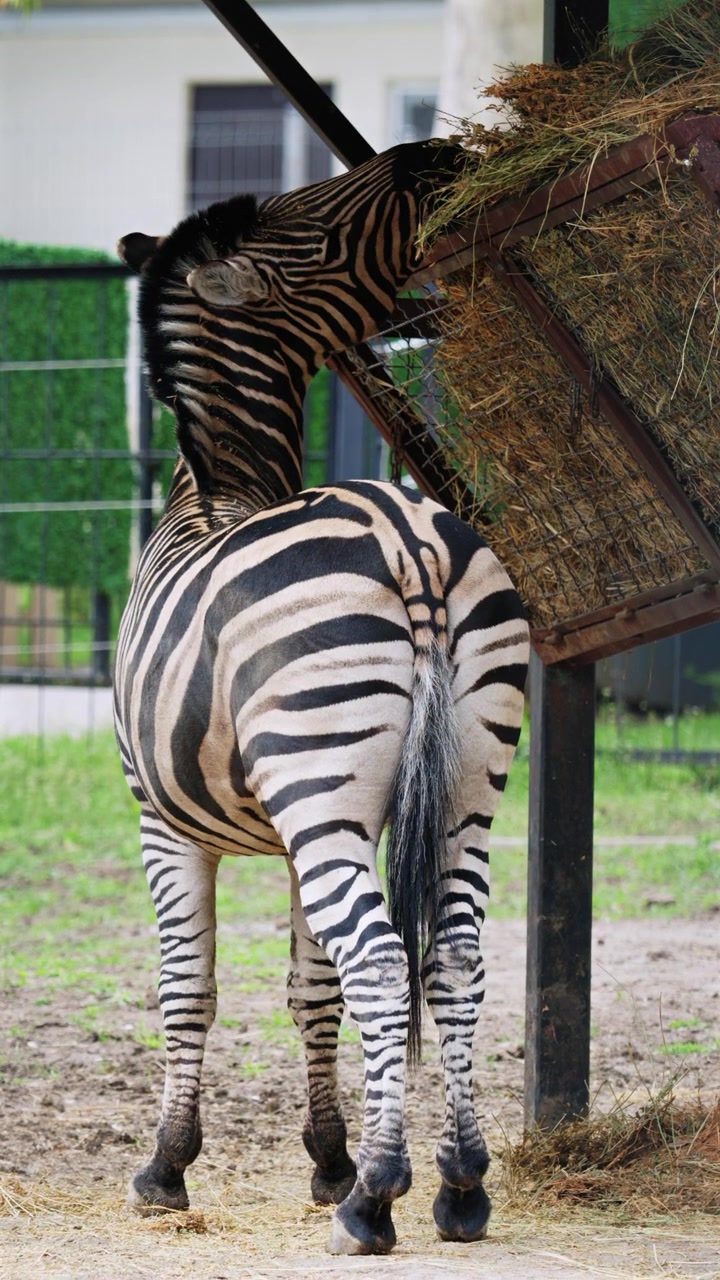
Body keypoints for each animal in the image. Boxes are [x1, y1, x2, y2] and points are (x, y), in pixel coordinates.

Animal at [114, 140, 529, 1255]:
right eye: (313, 228)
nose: (439, 157)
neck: (216, 490)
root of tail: (406, 534)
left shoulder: (162, 820)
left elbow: (189, 986)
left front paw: (167, 1166)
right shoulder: (312, 820)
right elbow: (311, 987)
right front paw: (327, 1152)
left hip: (323, 784)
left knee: (385, 959)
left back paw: (376, 1198)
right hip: (454, 784)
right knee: (453, 953)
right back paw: (460, 1183)